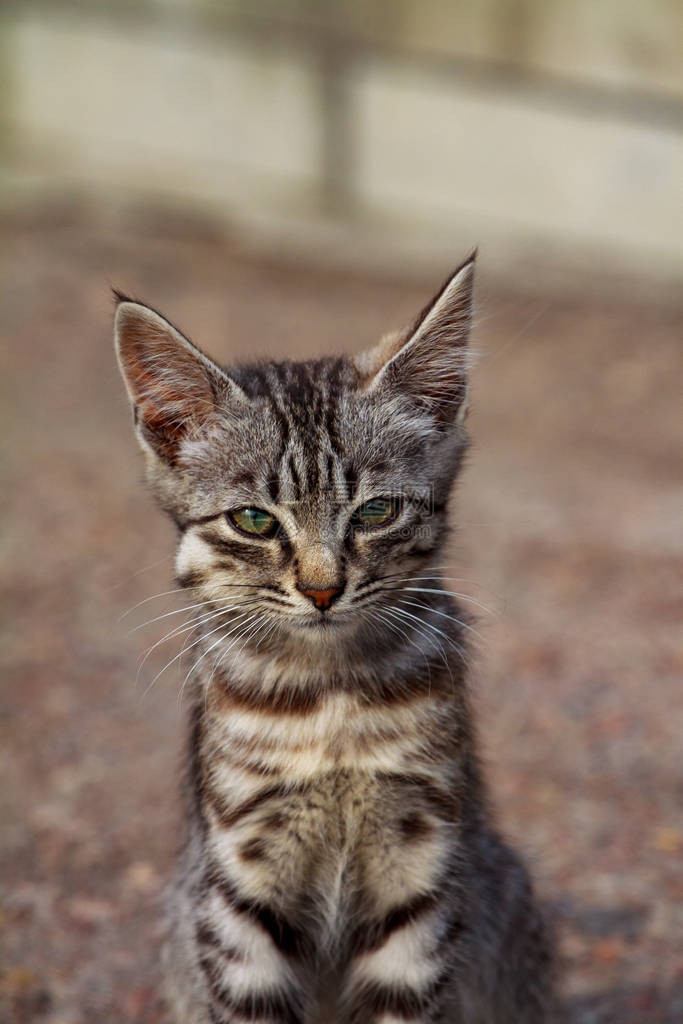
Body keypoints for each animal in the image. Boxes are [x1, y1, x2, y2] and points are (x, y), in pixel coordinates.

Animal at [116, 253, 557, 1024]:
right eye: (254, 521)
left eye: (376, 512)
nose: (322, 589)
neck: (331, 698)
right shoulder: (238, 885)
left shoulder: (423, 865)